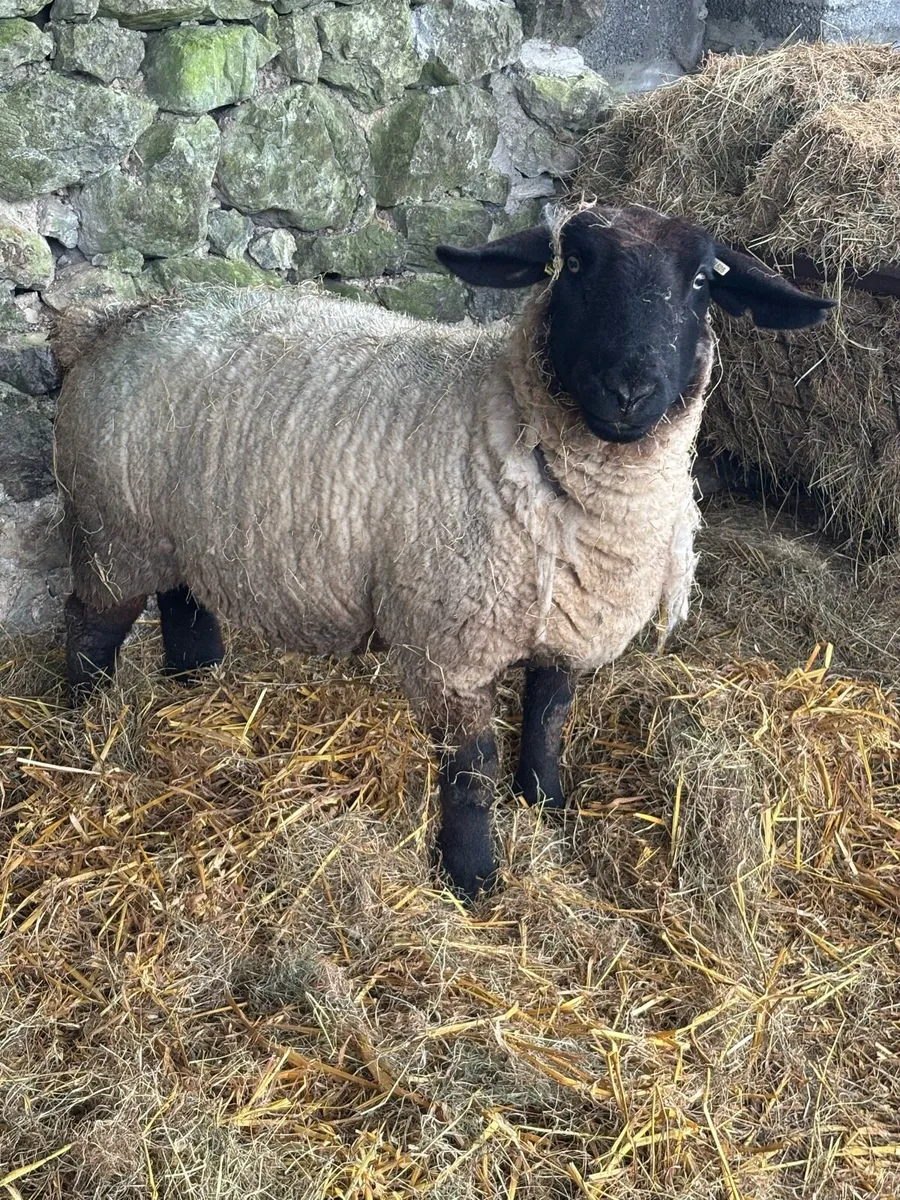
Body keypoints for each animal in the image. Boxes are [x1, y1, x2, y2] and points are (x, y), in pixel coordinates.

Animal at [53, 204, 835, 900]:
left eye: (701, 280)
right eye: (577, 265)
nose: (630, 389)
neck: (512, 425)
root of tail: (114, 320)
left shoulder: (570, 624)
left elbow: (549, 719)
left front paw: (546, 803)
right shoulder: (449, 644)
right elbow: (471, 769)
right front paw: (472, 877)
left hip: (176, 529)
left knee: (181, 596)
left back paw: (198, 676)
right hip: (113, 532)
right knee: (88, 628)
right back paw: (83, 728)